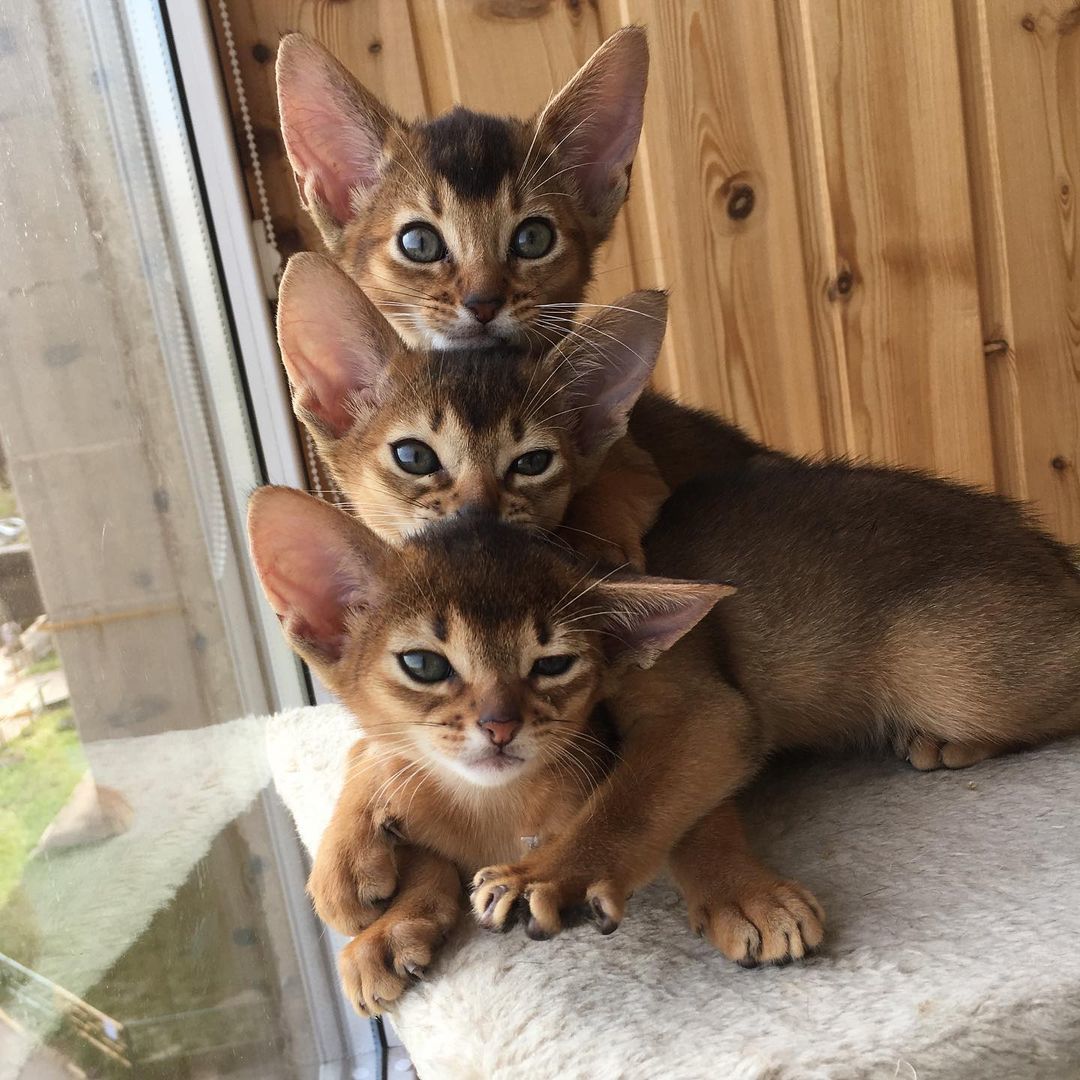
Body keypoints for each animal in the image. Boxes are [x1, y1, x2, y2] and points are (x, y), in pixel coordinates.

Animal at [248, 486, 730, 1015]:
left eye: (553, 665)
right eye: (423, 664)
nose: (500, 726)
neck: (489, 810)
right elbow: (417, 833)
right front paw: (386, 925)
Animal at [278, 250, 1080, 972]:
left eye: (532, 463)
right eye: (414, 457)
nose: (477, 521)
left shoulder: (702, 710)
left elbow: (642, 800)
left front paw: (566, 878)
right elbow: (381, 753)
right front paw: (374, 893)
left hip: (954, 677)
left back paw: (948, 743)